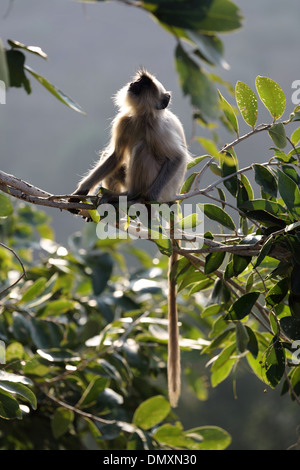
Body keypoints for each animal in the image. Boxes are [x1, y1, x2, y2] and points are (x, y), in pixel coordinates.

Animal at [70, 70, 190, 408]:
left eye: (145, 85)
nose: (135, 83)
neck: (142, 117)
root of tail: (174, 198)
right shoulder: (125, 121)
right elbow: (112, 157)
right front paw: (81, 193)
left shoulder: (157, 127)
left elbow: (177, 158)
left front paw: (142, 198)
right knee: (120, 158)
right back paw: (110, 200)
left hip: (162, 186)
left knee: (142, 151)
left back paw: (135, 197)